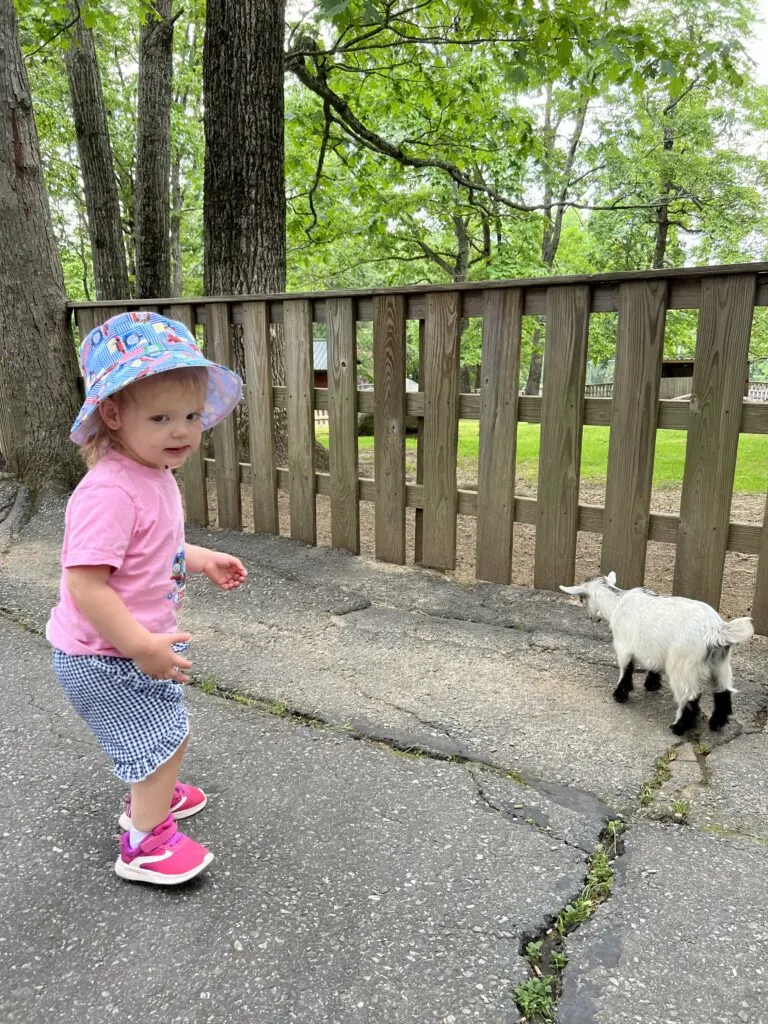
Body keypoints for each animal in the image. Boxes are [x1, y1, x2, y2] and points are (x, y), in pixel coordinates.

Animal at [561, 573, 753, 733]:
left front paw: (620, 695)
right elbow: (652, 666)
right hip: (721, 664)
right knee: (723, 692)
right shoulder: (653, 650)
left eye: (581, 599)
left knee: (689, 697)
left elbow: (626, 669)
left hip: (682, 666)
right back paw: (716, 723)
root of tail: (716, 630)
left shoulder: (623, 647)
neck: (616, 603)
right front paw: (651, 684)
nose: (592, 618)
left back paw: (679, 727)